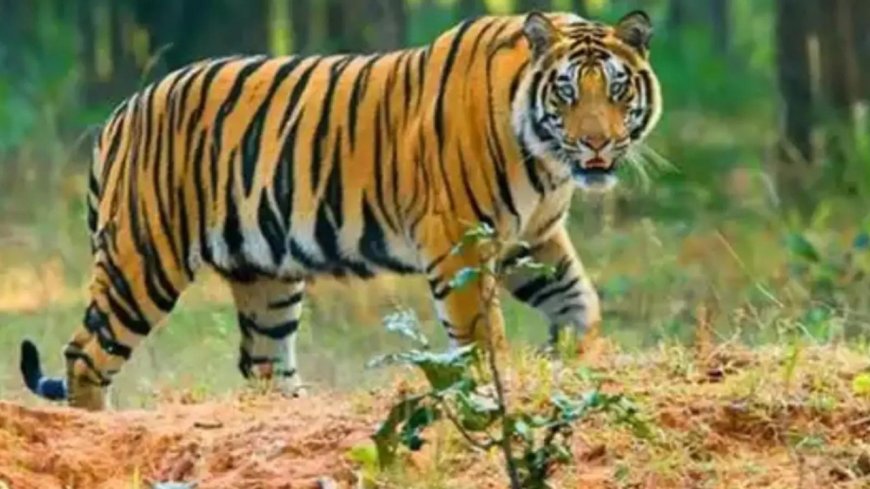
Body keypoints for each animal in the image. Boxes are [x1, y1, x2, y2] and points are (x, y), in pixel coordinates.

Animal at [19, 10, 662, 411]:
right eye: (567, 92)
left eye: (617, 90)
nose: (597, 145)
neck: (546, 160)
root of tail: (122, 112)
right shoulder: (459, 240)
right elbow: (482, 338)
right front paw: (499, 391)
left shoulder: (532, 240)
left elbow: (580, 301)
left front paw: (571, 356)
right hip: (143, 261)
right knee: (85, 356)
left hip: (265, 277)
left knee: (263, 364)